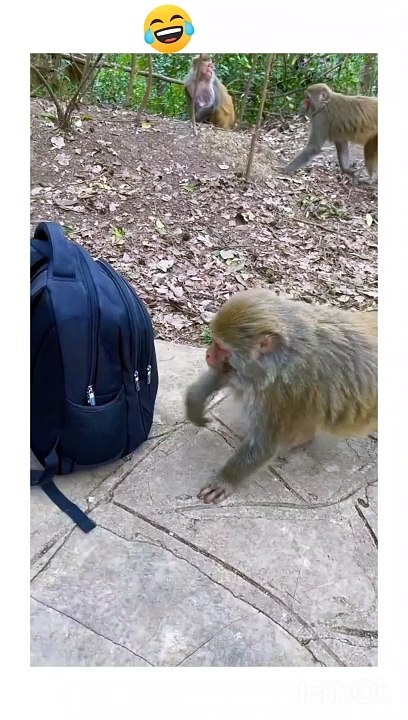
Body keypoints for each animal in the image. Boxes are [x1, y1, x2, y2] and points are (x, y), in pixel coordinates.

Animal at [185, 289, 377, 504]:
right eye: (214, 342)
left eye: (221, 347)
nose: (208, 354)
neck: (281, 357)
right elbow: (229, 376)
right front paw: (195, 401)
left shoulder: (283, 391)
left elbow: (264, 446)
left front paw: (226, 480)